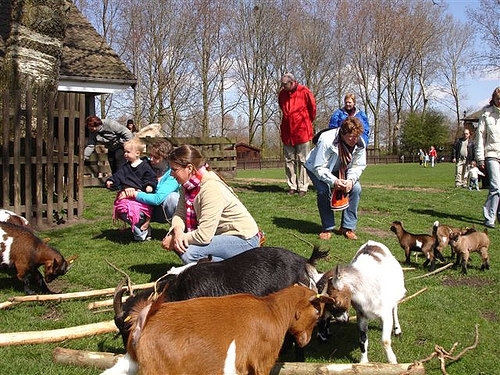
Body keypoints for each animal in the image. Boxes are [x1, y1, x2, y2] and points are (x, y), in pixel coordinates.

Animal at [104, 284, 332, 375]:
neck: (272, 309)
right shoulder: (262, 362)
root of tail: (144, 319)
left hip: (131, 363)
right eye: (317, 313)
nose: (306, 341)